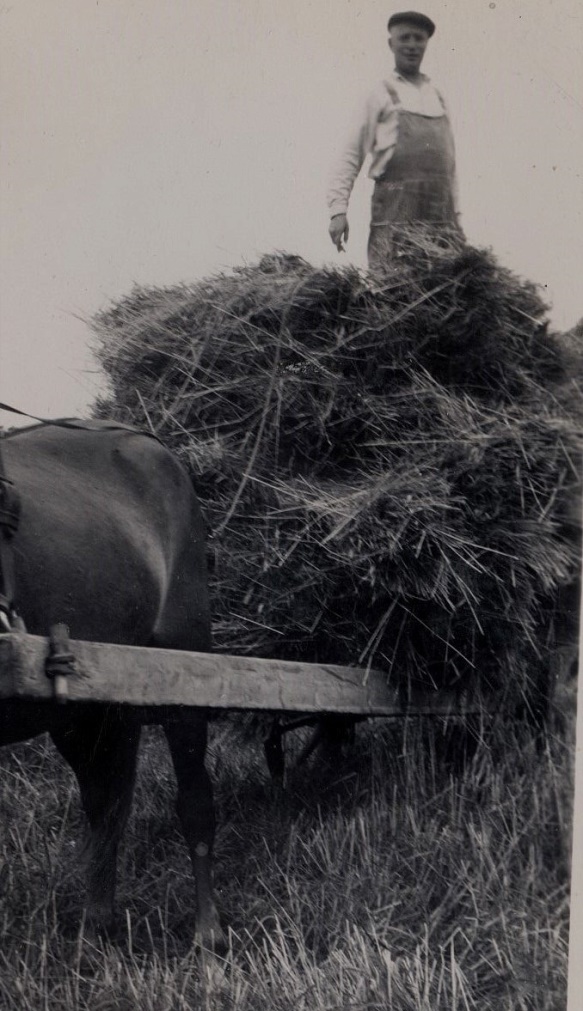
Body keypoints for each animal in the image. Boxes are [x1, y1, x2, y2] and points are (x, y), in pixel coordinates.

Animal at [0, 420, 222, 946]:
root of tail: (147, 442)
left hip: (182, 668)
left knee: (192, 798)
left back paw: (208, 932)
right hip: (92, 707)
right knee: (107, 802)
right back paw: (97, 928)